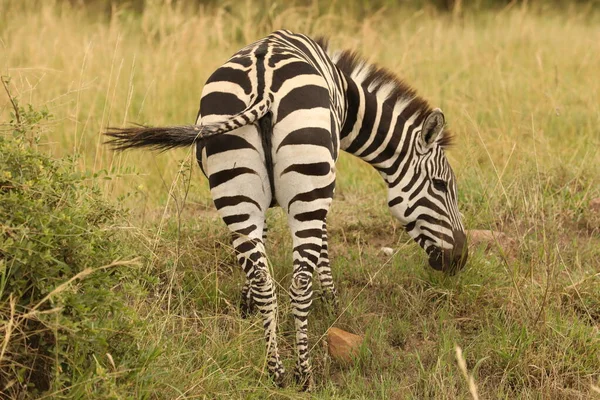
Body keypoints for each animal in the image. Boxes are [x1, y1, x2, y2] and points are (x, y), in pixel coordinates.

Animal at [104, 28, 468, 390]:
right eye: (441, 185)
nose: (461, 259)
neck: (347, 97)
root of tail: (263, 85)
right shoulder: (326, 181)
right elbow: (324, 243)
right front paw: (331, 299)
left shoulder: (262, 202)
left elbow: (262, 246)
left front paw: (246, 304)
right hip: (309, 187)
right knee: (299, 284)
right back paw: (302, 373)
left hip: (234, 191)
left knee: (265, 280)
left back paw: (275, 369)